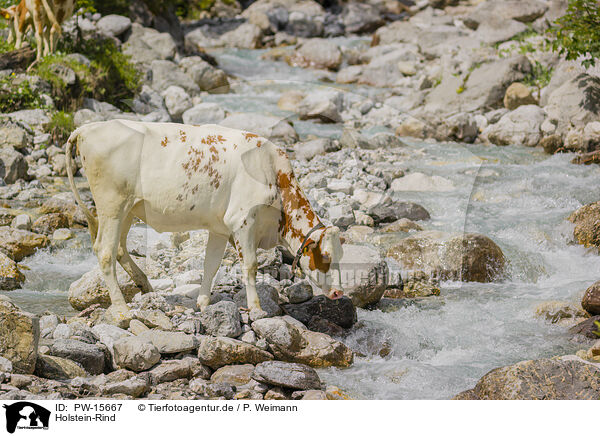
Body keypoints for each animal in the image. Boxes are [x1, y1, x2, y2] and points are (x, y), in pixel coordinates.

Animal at [65, 121, 344, 322]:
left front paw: (203, 303)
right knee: (105, 252)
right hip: (112, 205)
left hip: (128, 209)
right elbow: (250, 266)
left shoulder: (220, 228)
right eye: (325, 256)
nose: (339, 292)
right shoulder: (242, 220)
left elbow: (211, 265)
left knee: (120, 249)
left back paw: (146, 287)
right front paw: (256, 308)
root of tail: (87, 128)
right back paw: (122, 308)